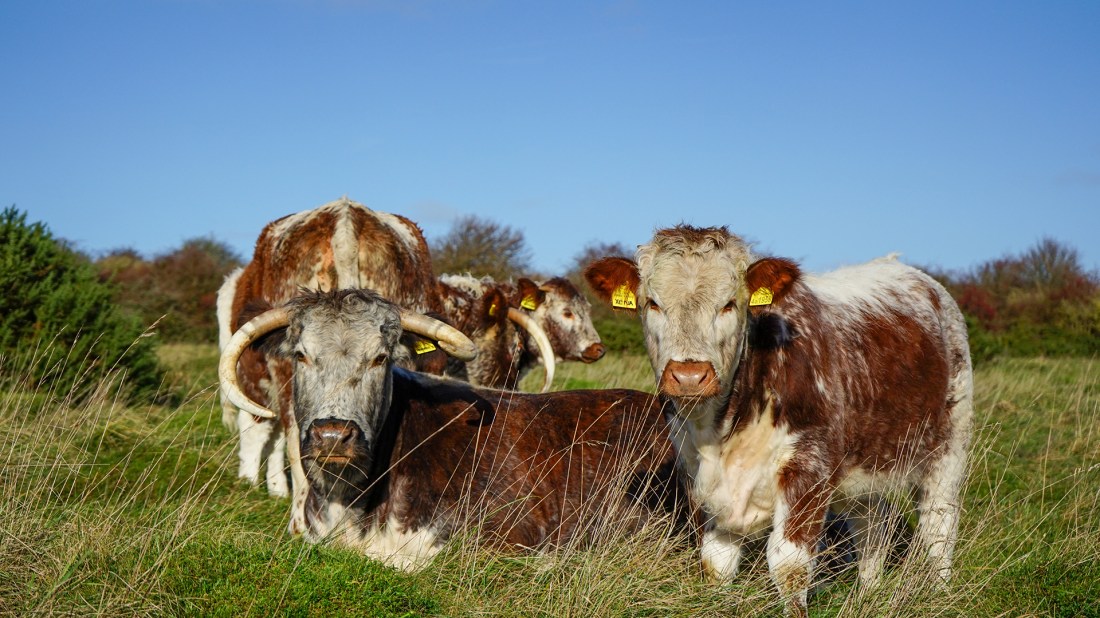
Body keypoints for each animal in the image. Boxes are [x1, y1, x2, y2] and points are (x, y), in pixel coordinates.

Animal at [585, 225, 973, 617]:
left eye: (730, 304)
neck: (723, 431)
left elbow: (789, 565)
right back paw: (868, 593)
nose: (690, 376)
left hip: (949, 445)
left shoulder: (808, 468)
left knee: (939, 524)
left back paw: (940, 593)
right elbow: (716, 563)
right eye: (652, 303)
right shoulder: (700, 478)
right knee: (872, 527)